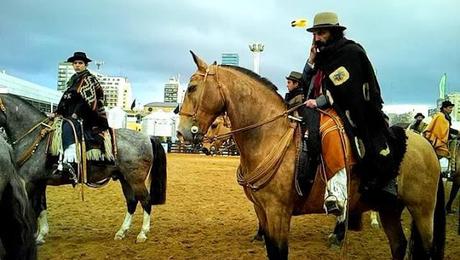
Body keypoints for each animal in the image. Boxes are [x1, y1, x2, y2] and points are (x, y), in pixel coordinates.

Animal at [0, 93, 167, 244]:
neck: (35, 138)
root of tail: (147, 137)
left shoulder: (30, 182)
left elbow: (31, 208)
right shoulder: (39, 182)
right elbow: (40, 206)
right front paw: (41, 235)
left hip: (136, 180)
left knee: (145, 201)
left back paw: (142, 233)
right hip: (124, 179)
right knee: (132, 202)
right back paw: (122, 231)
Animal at [176, 51, 446, 258]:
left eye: (192, 88)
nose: (181, 133)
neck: (270, 136)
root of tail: (426, 146)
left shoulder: (278, 212)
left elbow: (279, 253)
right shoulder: (263, 209)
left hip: (422, 211)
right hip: (390, 208)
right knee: (399, 245)